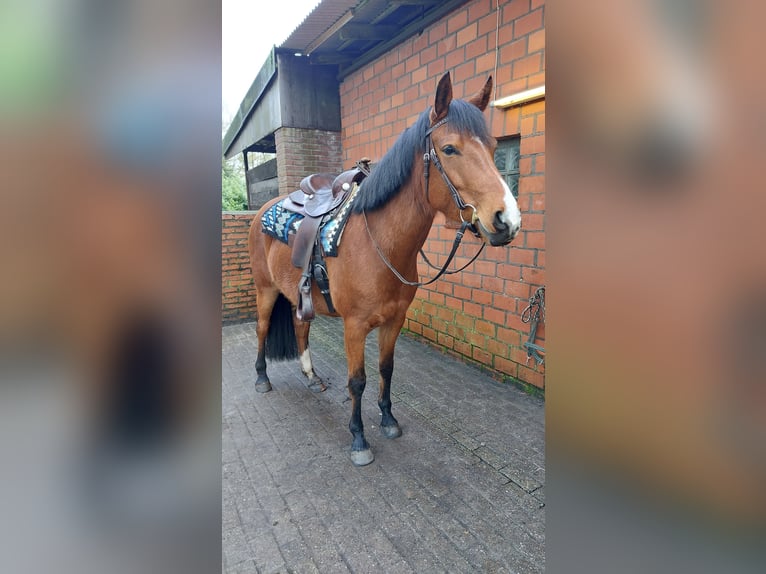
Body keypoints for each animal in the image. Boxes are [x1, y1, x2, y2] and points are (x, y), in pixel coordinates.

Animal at [250, 73, 520, 468]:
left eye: (493, 145)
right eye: (450, 149)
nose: (507, 220)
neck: (378, 243)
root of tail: (263, 209)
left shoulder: (395, 320)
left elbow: (386, 369)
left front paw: (389, 420)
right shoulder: (354, 326)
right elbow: (357, 380)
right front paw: (359, 439)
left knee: (301, 327)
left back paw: (311, 377)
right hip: (265, 290)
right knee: (261, 329)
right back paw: (261, 379)